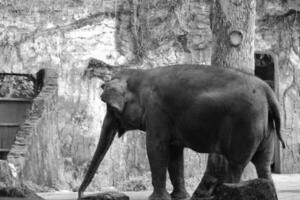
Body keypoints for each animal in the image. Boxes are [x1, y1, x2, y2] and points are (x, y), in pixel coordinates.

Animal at [77, 59, 284, 200]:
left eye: (110, 109)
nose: (81, 195)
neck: (141, 75)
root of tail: (268, 91)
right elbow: (176, 154)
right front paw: (179, 196)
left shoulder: (156, 111)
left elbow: (156, 148)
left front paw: (158, 198)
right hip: (265, 128)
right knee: (263, 164)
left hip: (245, 125)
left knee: (236, 164)